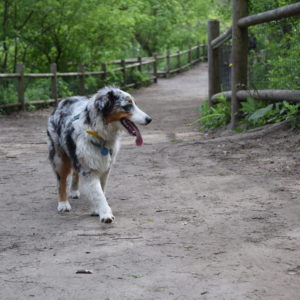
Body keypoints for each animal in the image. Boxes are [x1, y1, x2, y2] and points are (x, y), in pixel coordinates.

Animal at [47, 86, 152, 223]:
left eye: (134, 103)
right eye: (127, 105)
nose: (149, 119)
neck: (99, 134)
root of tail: (63, 101)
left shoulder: (104, 167)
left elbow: (100, 189)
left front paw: (96, 209)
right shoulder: (89, 168)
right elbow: (98, 193)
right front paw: (105, 214)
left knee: (75, 172)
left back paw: (74, 190)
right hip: (59, 157)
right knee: (61, 181)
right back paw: (63, 203)